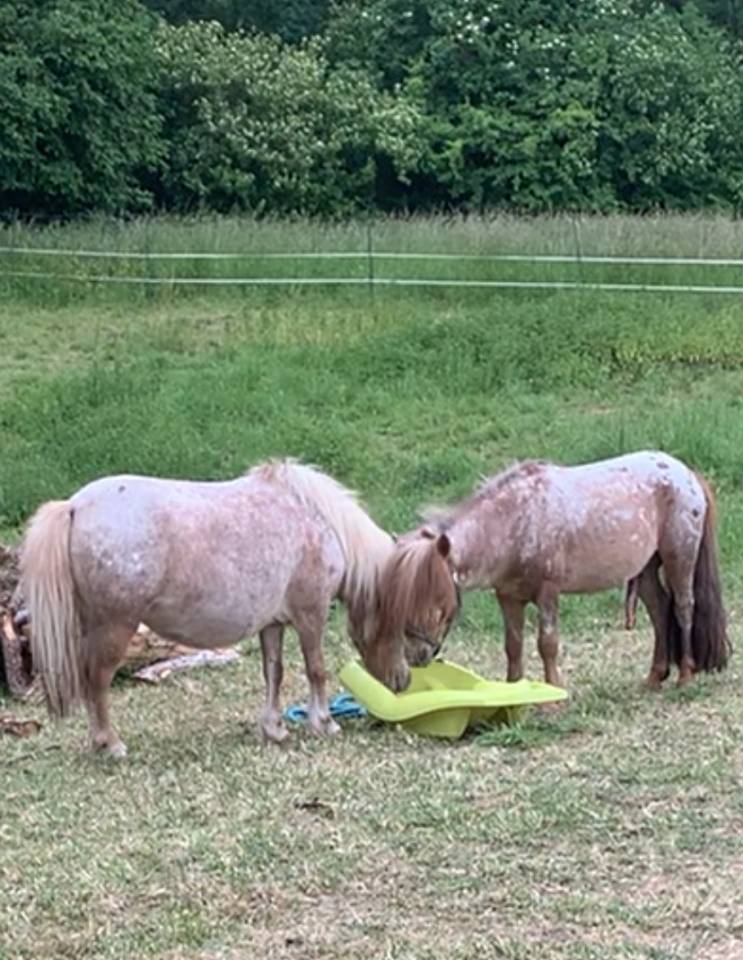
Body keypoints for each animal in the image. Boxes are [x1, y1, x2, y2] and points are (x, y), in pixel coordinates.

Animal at [20, 460, 459, 757]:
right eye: (438, 608)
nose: (421, 663)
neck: (321, 525)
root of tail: (75, 506)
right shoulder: (311, 614)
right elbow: (315, 669)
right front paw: (324, 723)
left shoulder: (273, 624)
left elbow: (274, 673)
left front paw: (275, 729)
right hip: (115, 626)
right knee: (97, 680)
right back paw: (109, 743)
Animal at [383, 451, 730, 689]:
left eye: (437, 599)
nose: (416, 657)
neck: (515, 520)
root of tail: (686, 473)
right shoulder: (508, 598)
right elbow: (513, 646)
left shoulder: (548, 593)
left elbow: (547, 644)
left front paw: (553, 697)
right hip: (644, 571)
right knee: (660, 612)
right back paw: (655, 676)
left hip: (679, 559)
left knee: (683, 608)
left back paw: (685, 674)